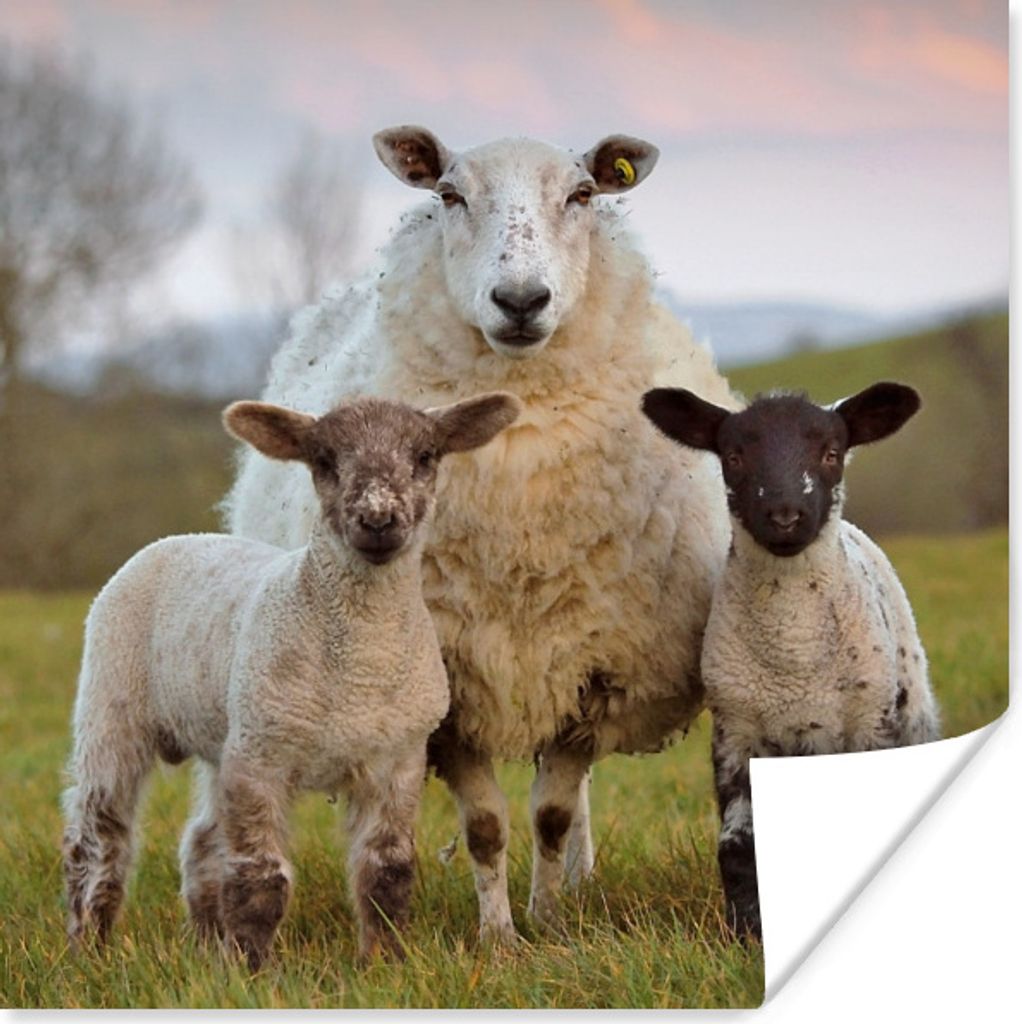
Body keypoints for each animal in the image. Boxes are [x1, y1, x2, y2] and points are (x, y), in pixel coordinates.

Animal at [61, 390, 521, 969]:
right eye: (324, 460)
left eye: (425, 456)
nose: (378, 519)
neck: (358, 667)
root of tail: (183, 537)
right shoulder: (262, 758)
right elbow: (261, 878)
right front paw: (251, 969)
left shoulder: (396, 760)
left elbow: (387, 871)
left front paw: (384, 961)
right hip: (111, 702)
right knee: (98, 835)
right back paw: (89, 942)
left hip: (224, 730)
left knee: (202, 841)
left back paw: (205, 940)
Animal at [224, 125, 738, 942]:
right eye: (449, 194)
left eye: (582, 195)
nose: (521, 300)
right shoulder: (451, 684)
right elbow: (487, 828)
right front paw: (497, 938)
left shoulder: (591, 670)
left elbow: (552, 814)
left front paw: (551, 923)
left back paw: (579, 882)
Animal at [641, 381, 942, 938]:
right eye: (733, 457)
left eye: (831, 453)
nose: (784, 517)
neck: (795, 653)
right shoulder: (737, 734)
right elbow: (737, 847)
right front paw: (747, 935)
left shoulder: (870, 725)